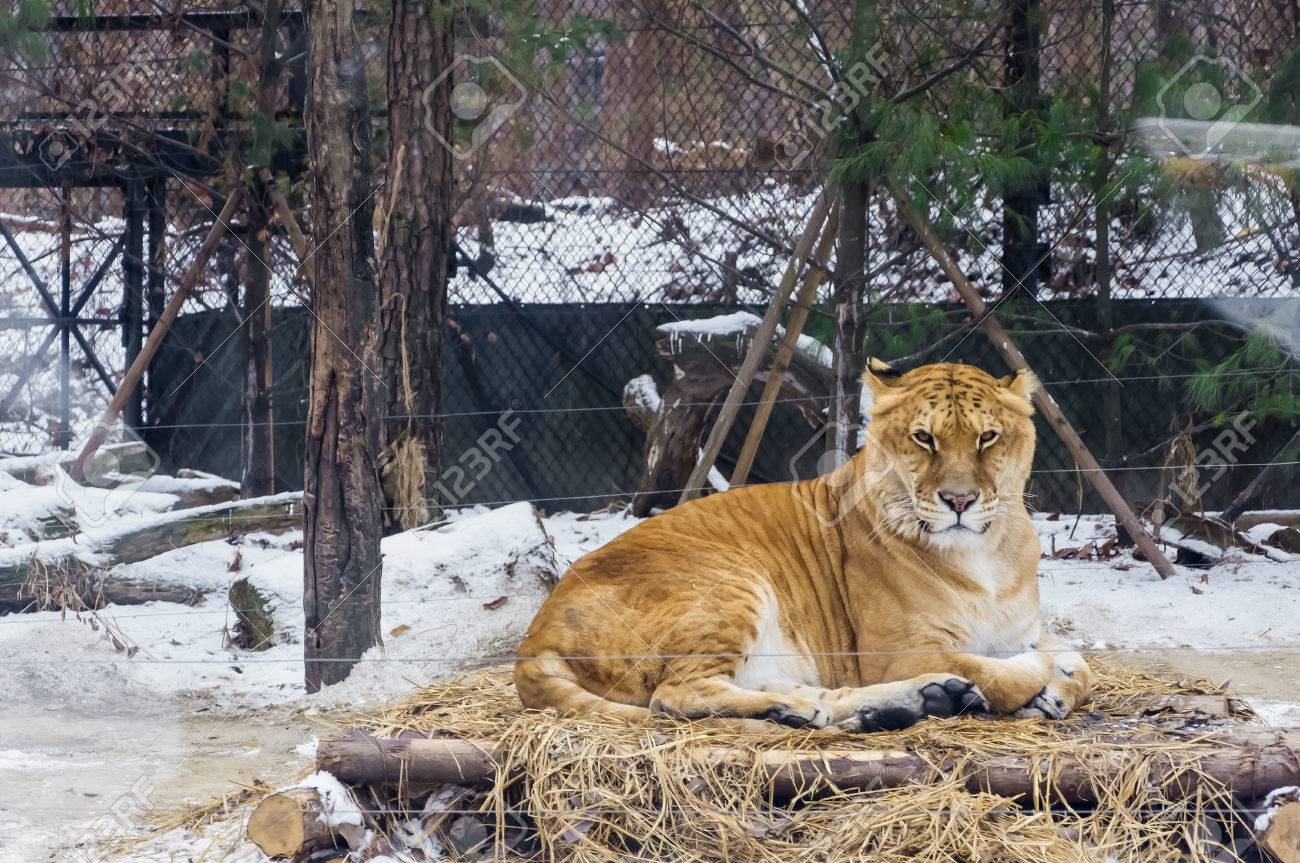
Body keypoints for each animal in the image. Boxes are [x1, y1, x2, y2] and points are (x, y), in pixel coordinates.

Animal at [514, 359, 1090, 731]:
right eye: (924, 438)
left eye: (987, 438)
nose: (960, 500)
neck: (986, 553)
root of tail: (532, 639)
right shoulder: (896, 651)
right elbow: (996, 670)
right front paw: (1037, 678)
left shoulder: (1021, 629)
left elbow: (1082, 665)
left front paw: (1058, 689)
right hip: (729, 582)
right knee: (674, 695)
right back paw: (800, 711)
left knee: (813, 692)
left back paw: (913, 702)